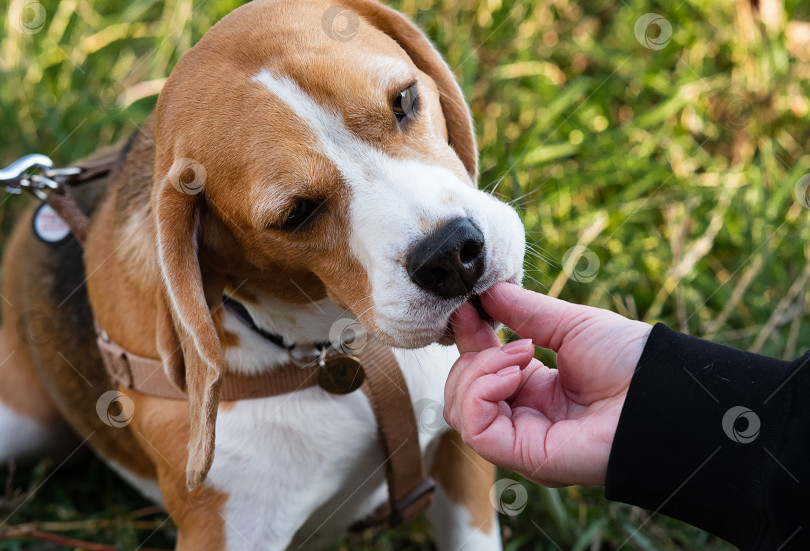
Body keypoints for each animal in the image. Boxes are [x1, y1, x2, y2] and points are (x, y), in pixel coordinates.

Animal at [0, 2, 524, 548]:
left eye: (403, 100)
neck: (338, 347)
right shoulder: (224, 530)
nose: (451, 255)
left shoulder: (463, 459)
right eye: (296, 214)